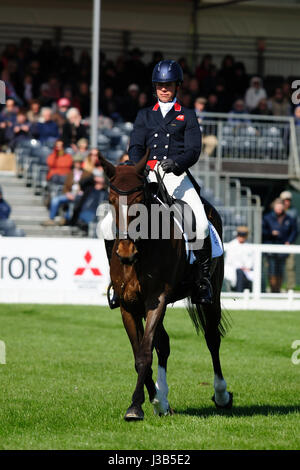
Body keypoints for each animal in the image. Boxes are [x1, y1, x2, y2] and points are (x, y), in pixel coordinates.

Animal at [98, 152, 232, 420]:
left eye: (140, 200)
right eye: (111, 199)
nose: (125, 253)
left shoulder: (156, 300)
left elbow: (144, 354)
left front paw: (135, 407)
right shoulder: (129, 305)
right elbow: (140, 352)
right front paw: (155, 400)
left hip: (212, 295)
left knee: (212, 338)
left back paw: (221, 395)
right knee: (164, 344)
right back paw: (163, 399)